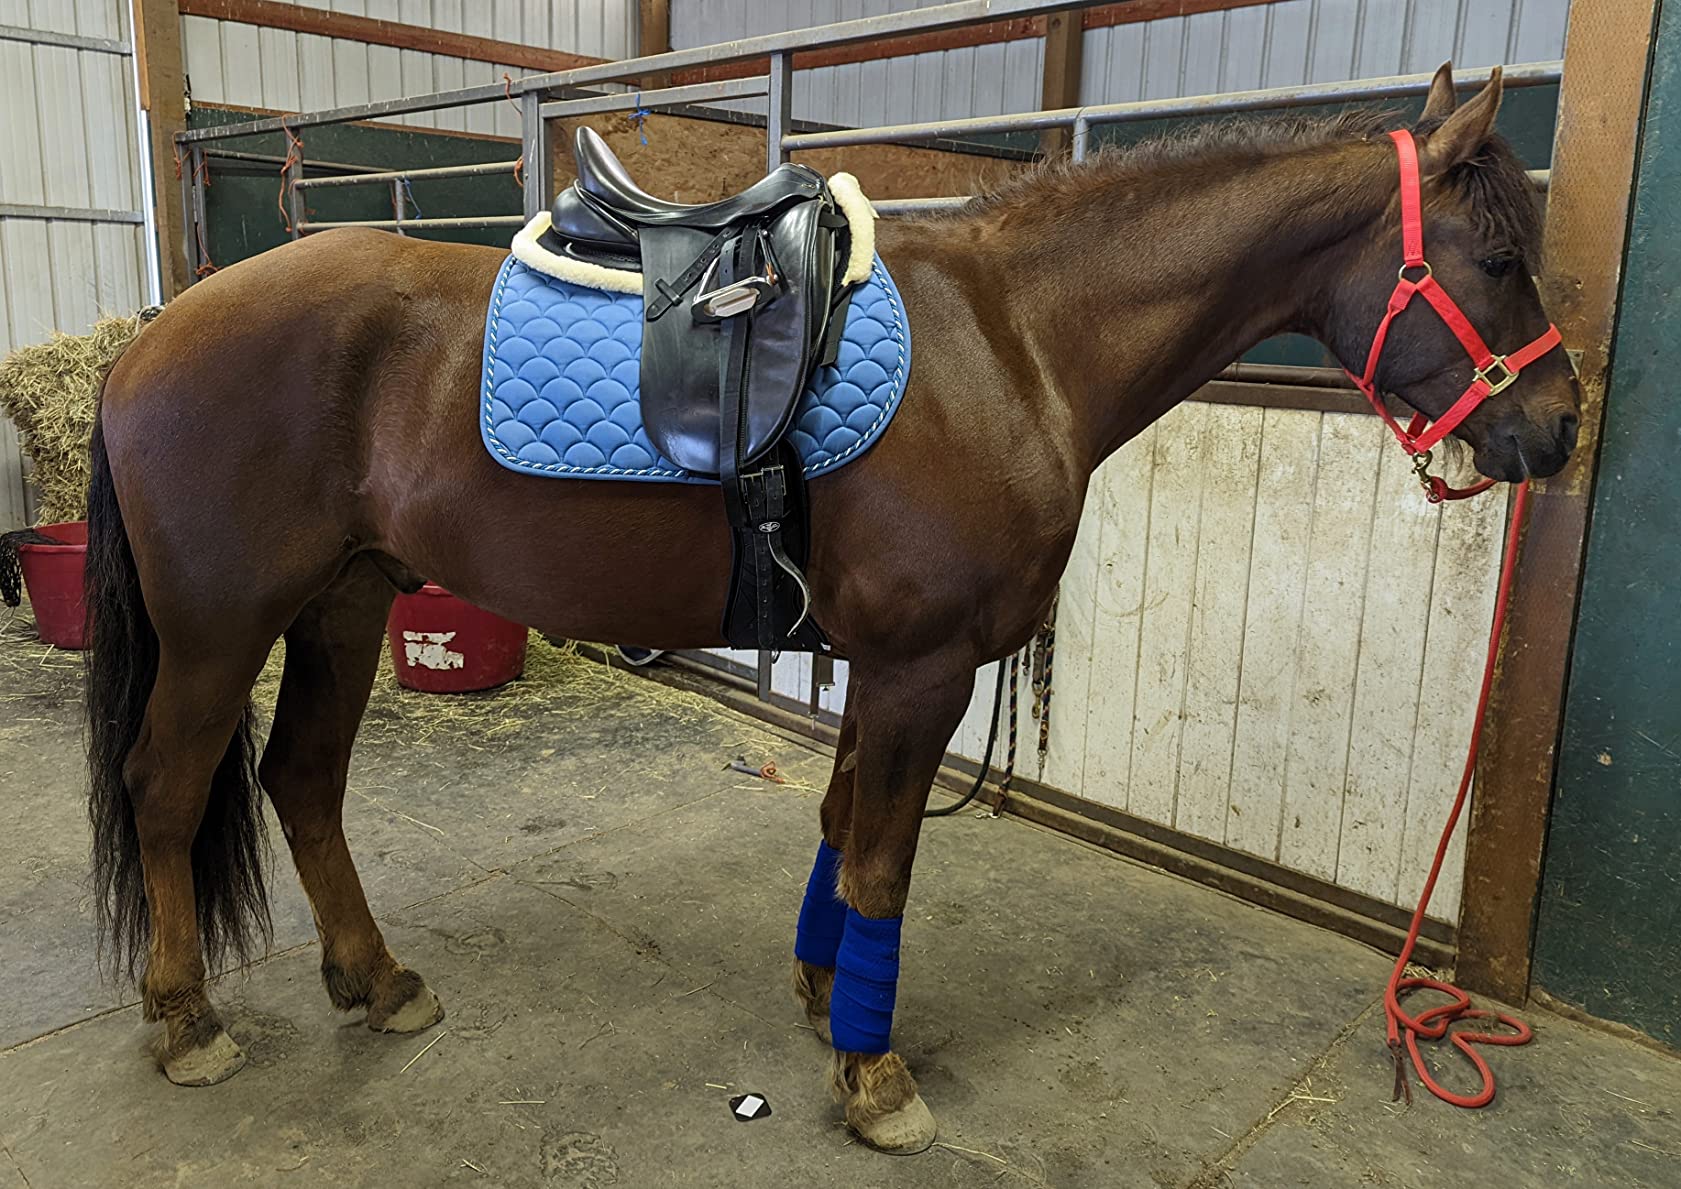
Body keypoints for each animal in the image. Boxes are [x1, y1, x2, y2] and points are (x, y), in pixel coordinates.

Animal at [82, 64, 1577, 1152]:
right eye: (1499, 257)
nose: (1560, 430)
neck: (1014, 342)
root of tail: (154, 332)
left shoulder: (881, 663)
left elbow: (837, 828)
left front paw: (822, 997)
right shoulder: (923, 667)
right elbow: (883, 863)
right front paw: (874, 1074)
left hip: (339, 606)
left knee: (302, 781)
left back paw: (377, 979)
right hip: (220, 629)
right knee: (167, 789)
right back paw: (184, 1019)